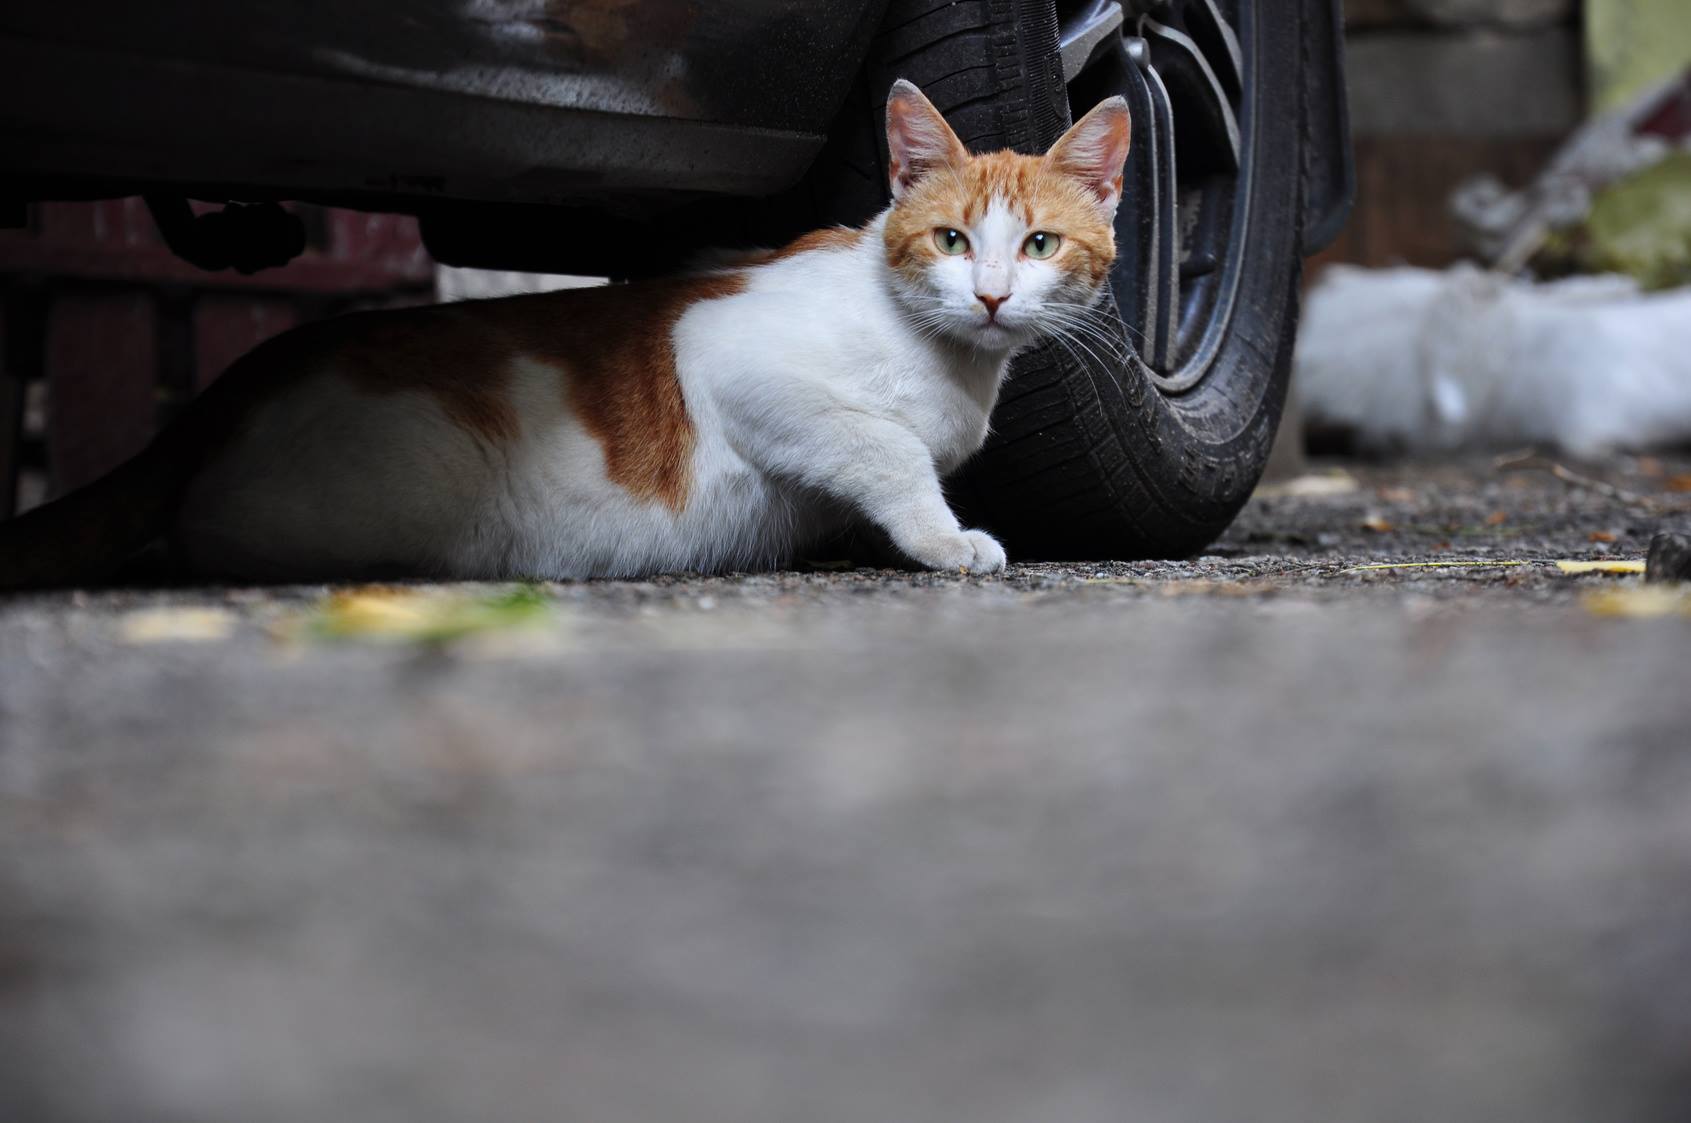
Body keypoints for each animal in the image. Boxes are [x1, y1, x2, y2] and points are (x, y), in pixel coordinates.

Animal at [6, 81, 1136, 588]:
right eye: (950, 239)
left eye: (1037, 244)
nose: (988, 295)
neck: (947, 360)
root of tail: (232, 383)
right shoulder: (735, 357)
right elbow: (887, 447)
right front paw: (945, 538)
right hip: (407, 488)